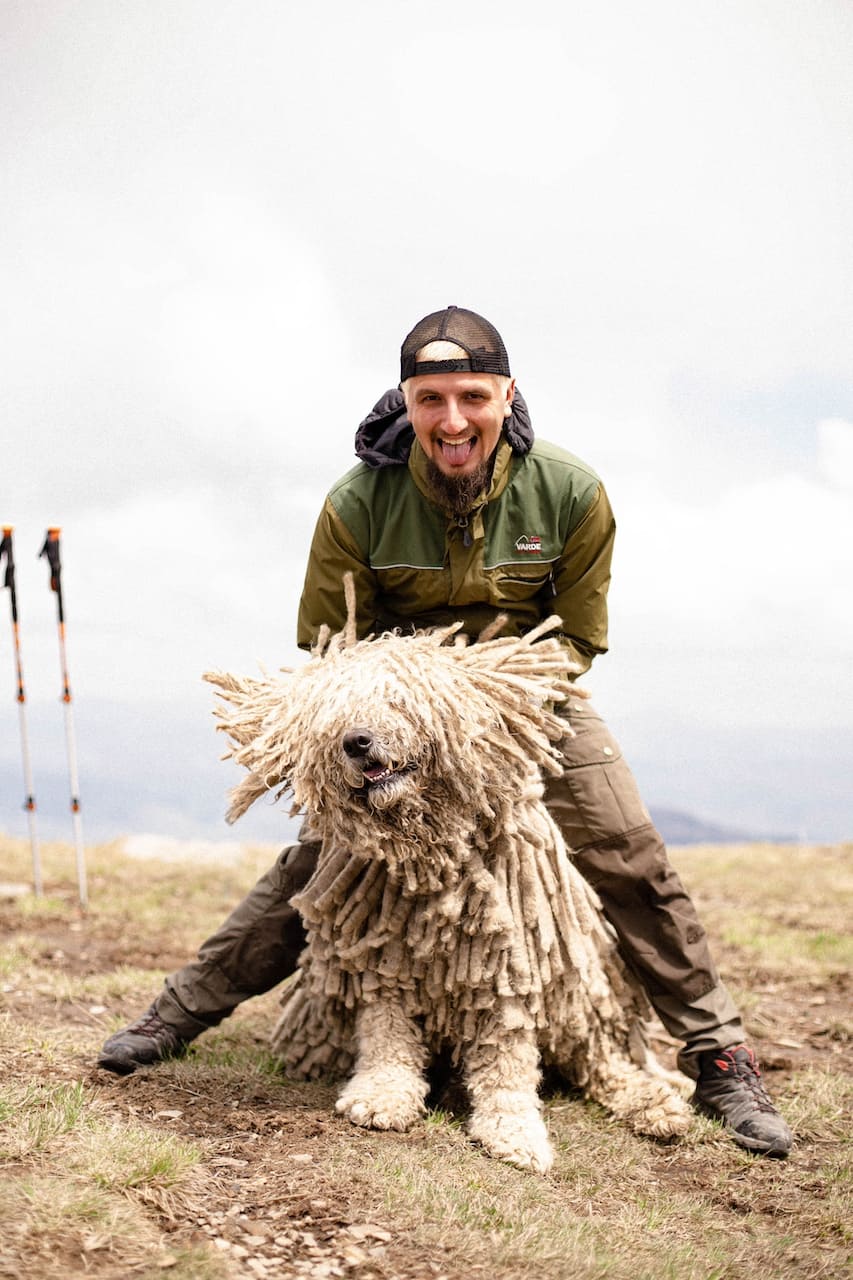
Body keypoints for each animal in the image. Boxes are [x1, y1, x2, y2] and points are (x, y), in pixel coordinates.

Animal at [207, 604, 691, 1172]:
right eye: (333, 717)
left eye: (400, 700)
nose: (357, 741)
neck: (430, 860)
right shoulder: (381, 958)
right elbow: (386, 1034)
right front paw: (382, 1096)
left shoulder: (509, 966)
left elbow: (507, 1060)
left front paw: (514, 1132)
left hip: (586, 1005)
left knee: (608, 1066)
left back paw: (659, 1105)